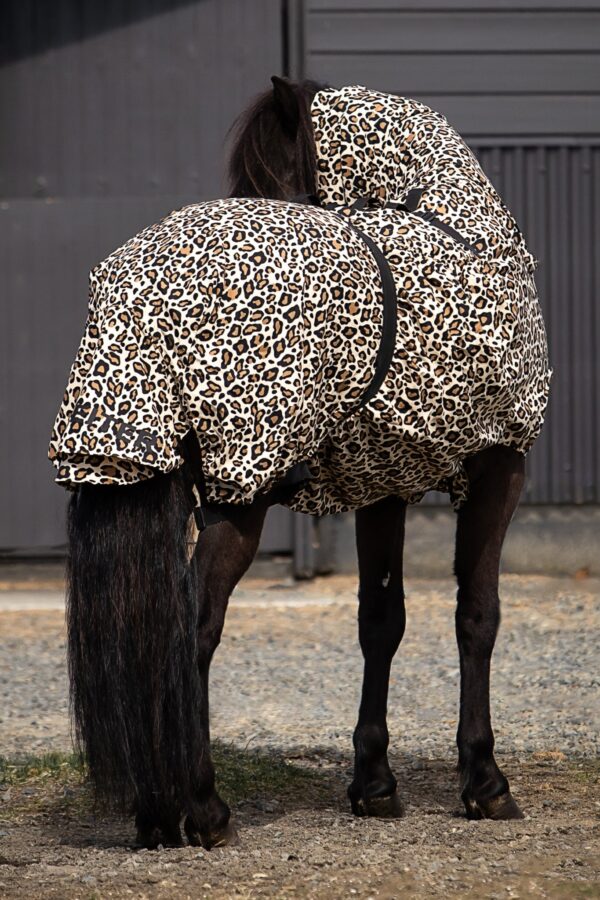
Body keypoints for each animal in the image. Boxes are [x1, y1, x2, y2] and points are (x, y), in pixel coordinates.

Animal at [56, 77, 550, 851]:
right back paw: (203, 809)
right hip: (240, 491)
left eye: (266, 180)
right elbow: (478, 614)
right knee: (191, 630)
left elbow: (381, 620)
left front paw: (374, 785)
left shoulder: (385, 483)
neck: (452, 219)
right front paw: (485, 783)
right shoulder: (502, 463)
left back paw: (157, 812)